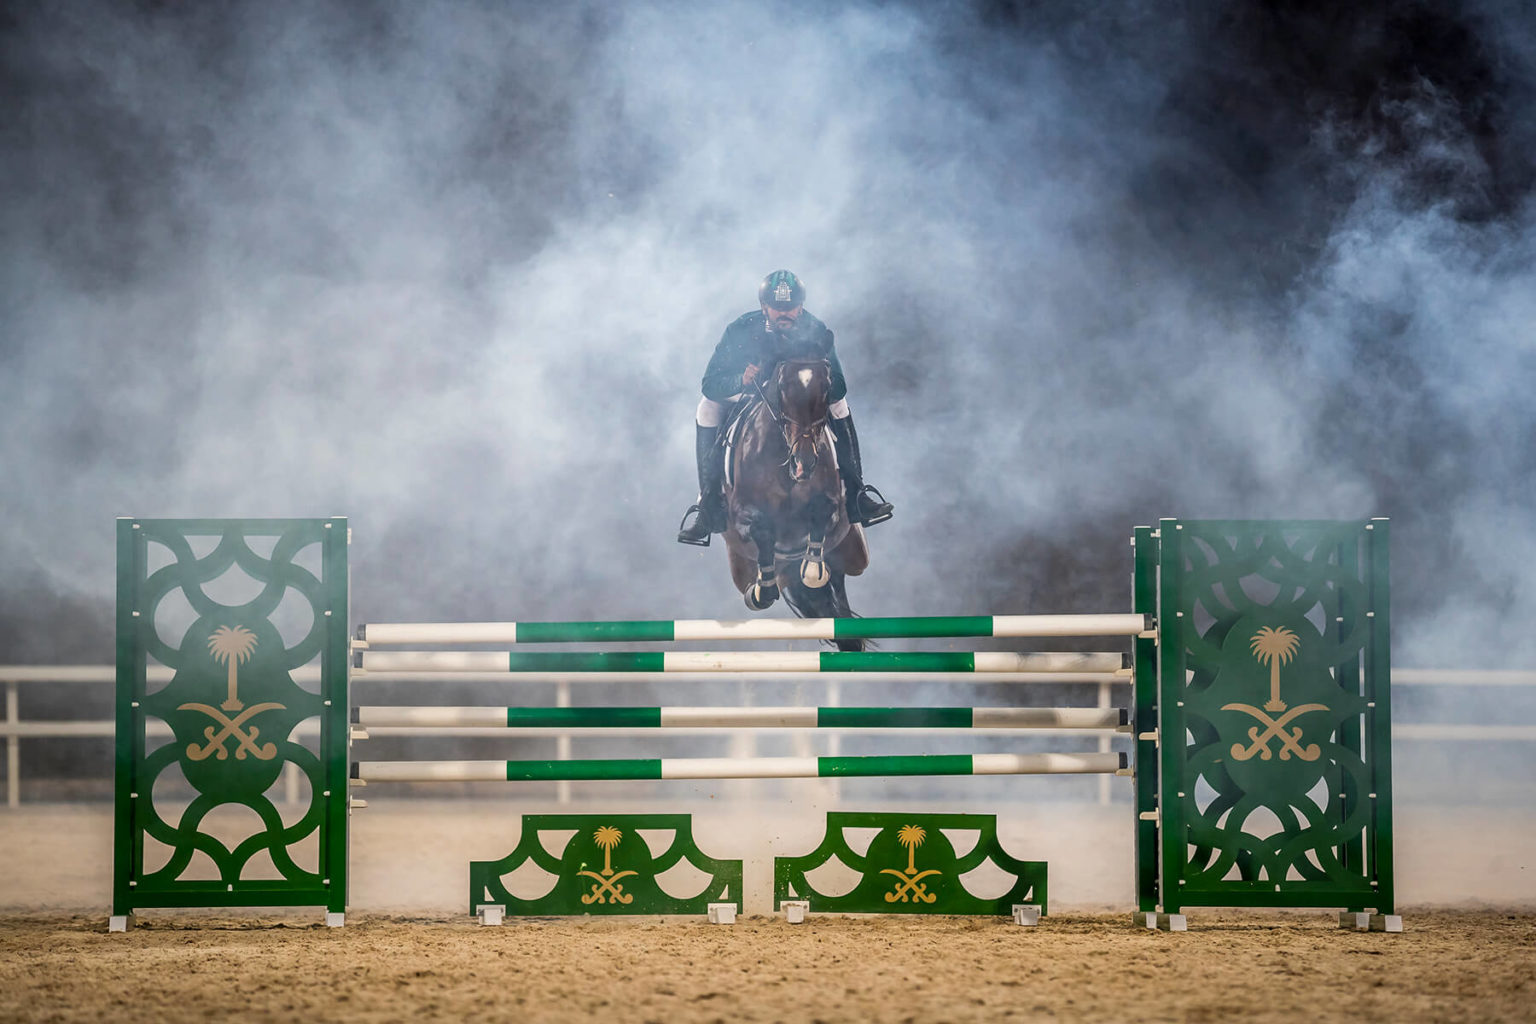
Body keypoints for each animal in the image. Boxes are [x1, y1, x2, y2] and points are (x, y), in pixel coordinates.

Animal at [715, 356, 866, 654]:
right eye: (782, 389)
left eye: (826, 388)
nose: (803, 462)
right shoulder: (742, 515)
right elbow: (762, 530)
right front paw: (763, 588)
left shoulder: (832, 506)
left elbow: (820, 515)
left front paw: (812, 569)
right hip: (741, 562)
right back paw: (757, 590)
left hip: (849, 550)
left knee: (836, 585)